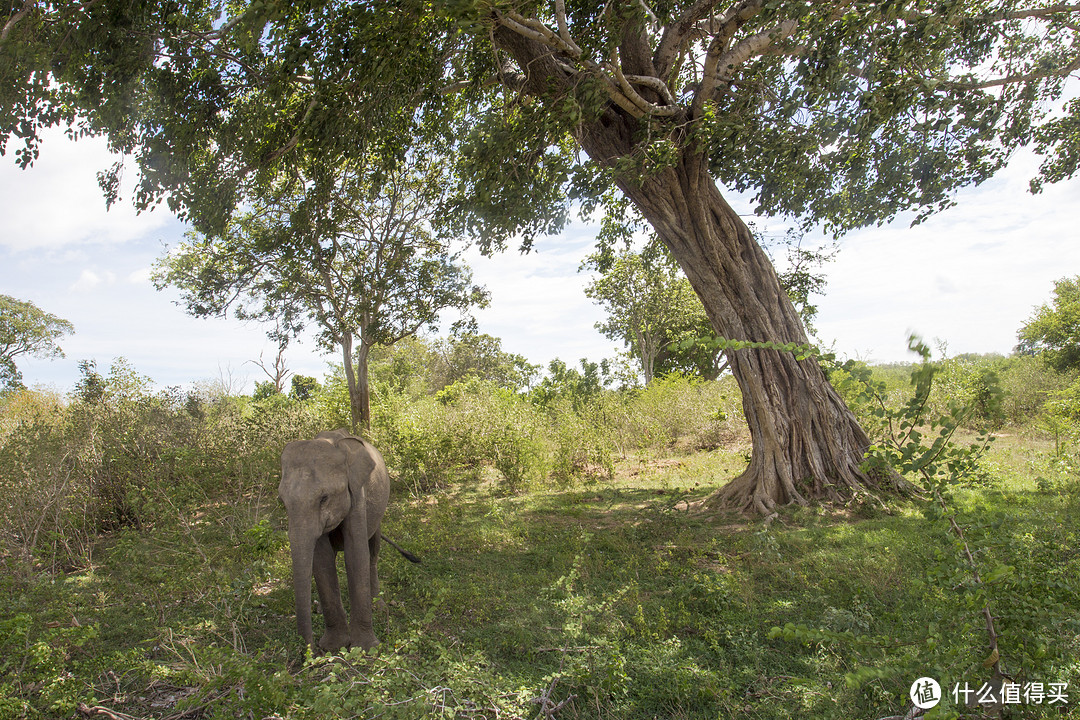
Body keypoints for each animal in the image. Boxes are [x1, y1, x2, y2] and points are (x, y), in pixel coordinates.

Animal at [278, 431, 416, 656]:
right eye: (282, 501)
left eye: (324, 498)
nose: (312, 653)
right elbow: (322, 561)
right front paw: (333, 646)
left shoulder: (358, 494)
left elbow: (356, 555)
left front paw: (364, 648)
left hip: (378, 514)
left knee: (372, 552)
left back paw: (378, 607)